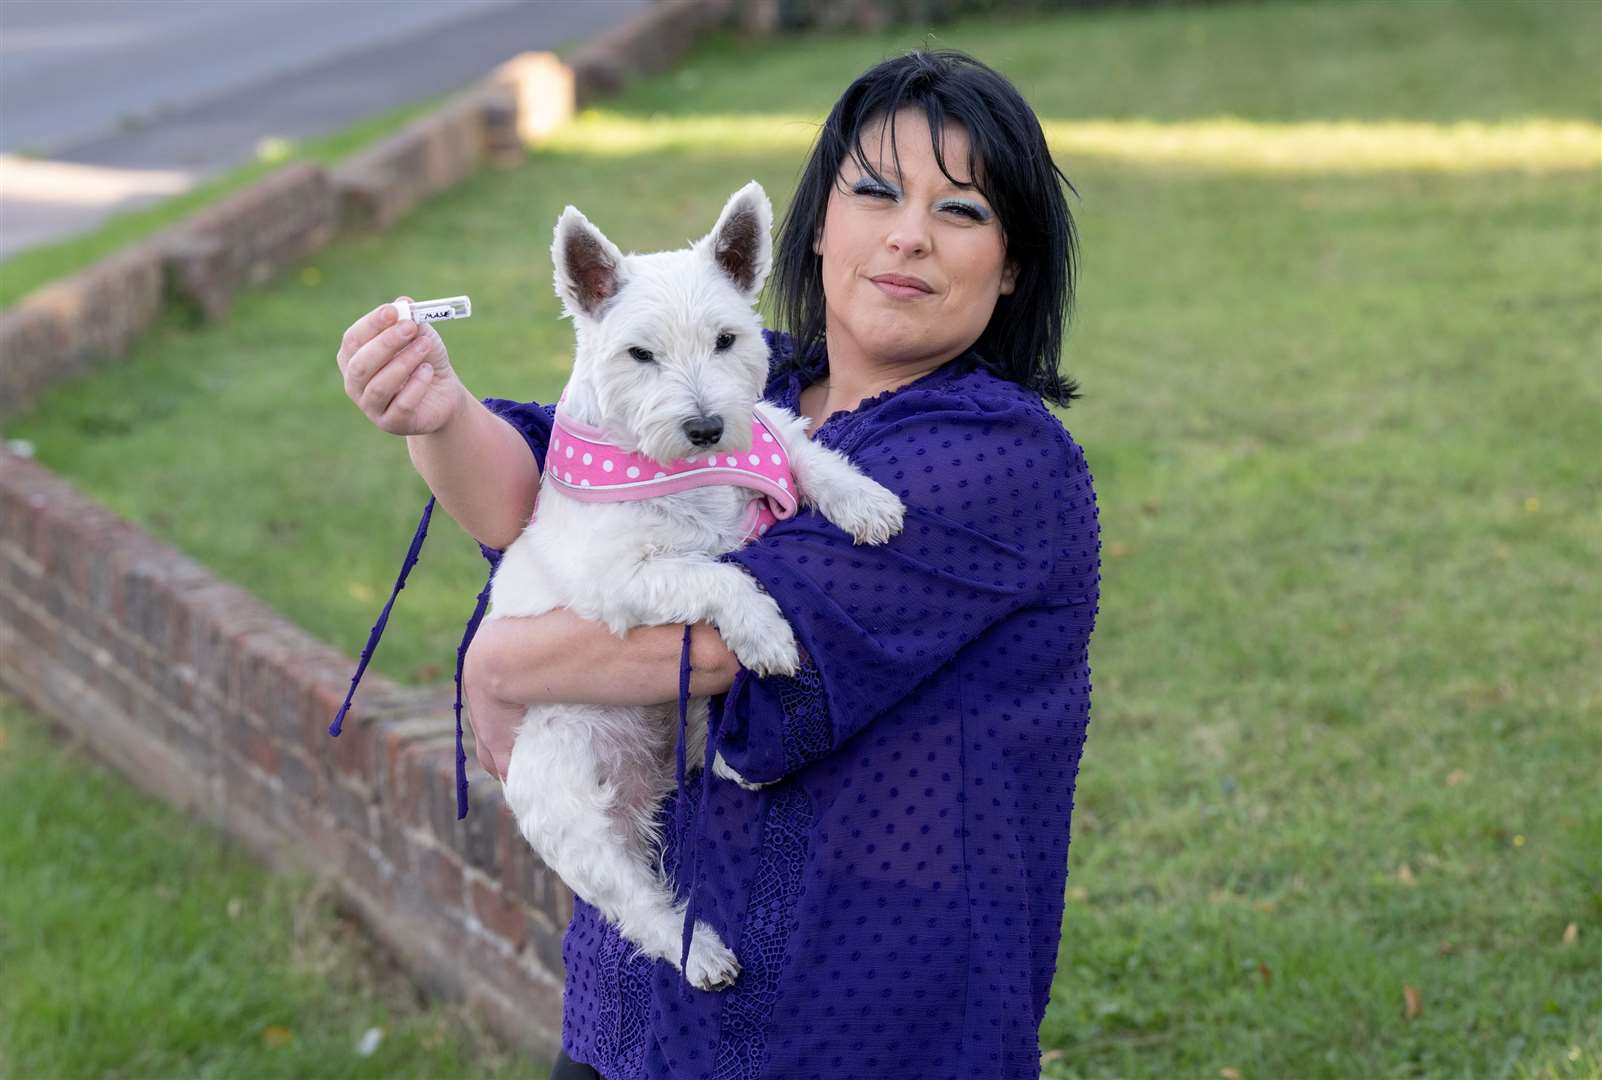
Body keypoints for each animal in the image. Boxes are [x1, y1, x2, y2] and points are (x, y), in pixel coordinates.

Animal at [480, 181, 909, 987]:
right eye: (640, 353)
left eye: (727, 340)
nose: (707, 427)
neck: (685, 470)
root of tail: (640, 780)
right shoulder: (621, 579)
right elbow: (711, 574)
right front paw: (768, 633)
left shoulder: (767, 429)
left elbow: (804, 454)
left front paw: (866, 503)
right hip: (566, 787)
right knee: (632, 898)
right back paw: (702, 952)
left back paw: (738, 766)